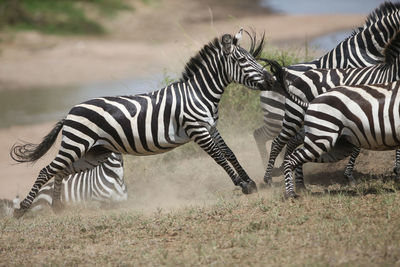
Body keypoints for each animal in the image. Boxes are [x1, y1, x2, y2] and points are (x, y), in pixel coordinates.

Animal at [9, 29, 274, 219]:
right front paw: (242, 185)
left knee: (61, 171)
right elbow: (219, 157)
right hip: (76, 144)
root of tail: (69, 113)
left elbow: (229, 152)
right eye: (242, 60)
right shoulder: (197, 129)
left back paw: (58, 207)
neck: (198, 93)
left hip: (93, 152)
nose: (272, 79)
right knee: (47, 170)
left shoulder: (210, 127)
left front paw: (249, 181)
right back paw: (22, 209)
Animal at [253, 1, 400, 170]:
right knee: (268, 138)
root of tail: (271, 80)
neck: (365, 48)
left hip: (277, 118)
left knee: (262, 135)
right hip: (278, 118)